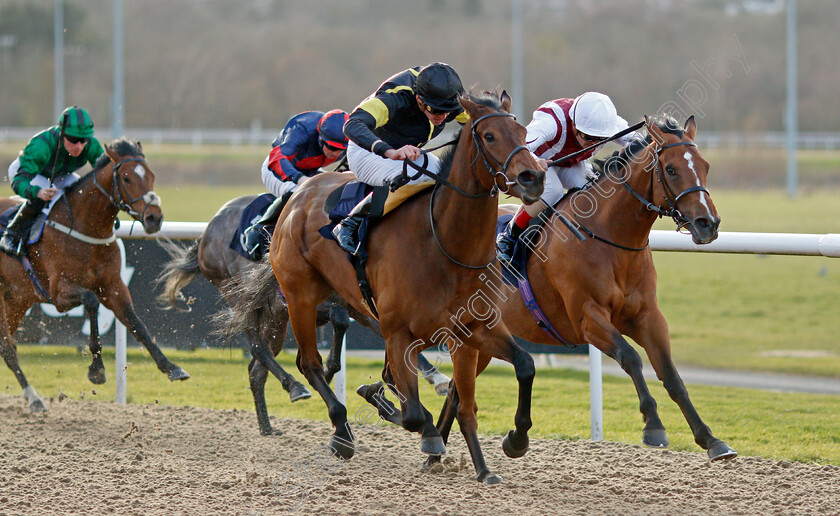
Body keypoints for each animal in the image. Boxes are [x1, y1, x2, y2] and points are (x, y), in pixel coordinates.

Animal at [0, 139, 189, 414]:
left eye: (152, 175)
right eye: (126, 178)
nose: (154, 217)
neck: (85, 229)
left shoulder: (114, 287)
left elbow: (136, 324)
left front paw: (172, 368)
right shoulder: (59, 293)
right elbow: (91, 301)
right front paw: (97, 370)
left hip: (17, 299)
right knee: (7, 347)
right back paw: (33, 398)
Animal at [220, 89, 544, 484]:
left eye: (523, 131)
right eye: (490, 136)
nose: (533, 177)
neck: (446, 244)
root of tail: (298, 196)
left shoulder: (474, 327)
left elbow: (519, 368)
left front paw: (509, 445)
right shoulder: (398, 331)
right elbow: (414, 414)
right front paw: (422, 431)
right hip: (300, 297)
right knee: (308, 363)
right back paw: (341, 431)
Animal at [430, 115, 740, 462]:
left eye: (705, 165)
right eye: (671, 169)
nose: (707, 223)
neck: (610, 238)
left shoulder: (648, 317)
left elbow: (671, 375)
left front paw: (711, 439)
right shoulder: (588, 318)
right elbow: (630, 357)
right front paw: (654, 426)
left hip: (485, 338)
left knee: (457, 389)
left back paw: (437, 453)